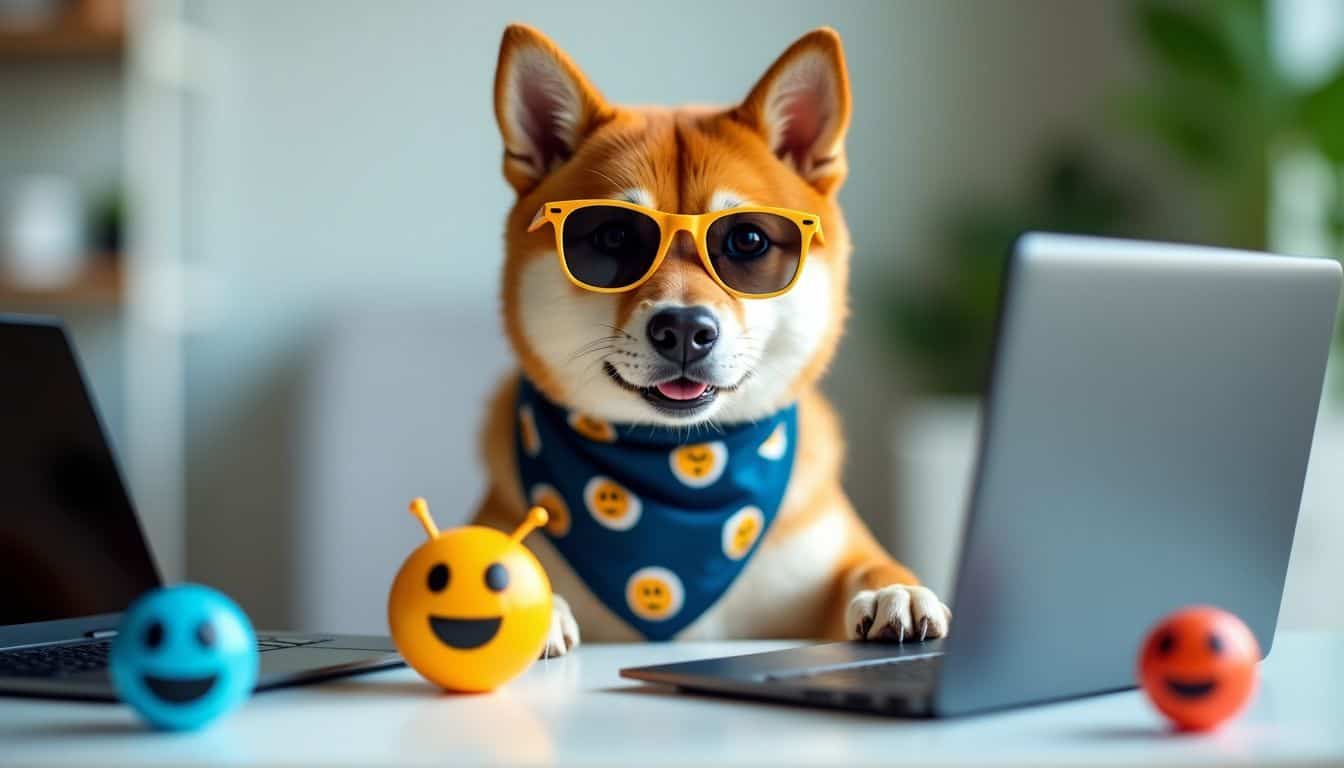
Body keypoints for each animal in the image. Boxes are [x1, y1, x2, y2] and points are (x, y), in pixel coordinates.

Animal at [473, 22, 946, 656]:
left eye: (747, 240)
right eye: (615, 236)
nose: (683, 330)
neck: (680, 475)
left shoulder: (829, 555)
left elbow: (873, 564)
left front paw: (897, 590)